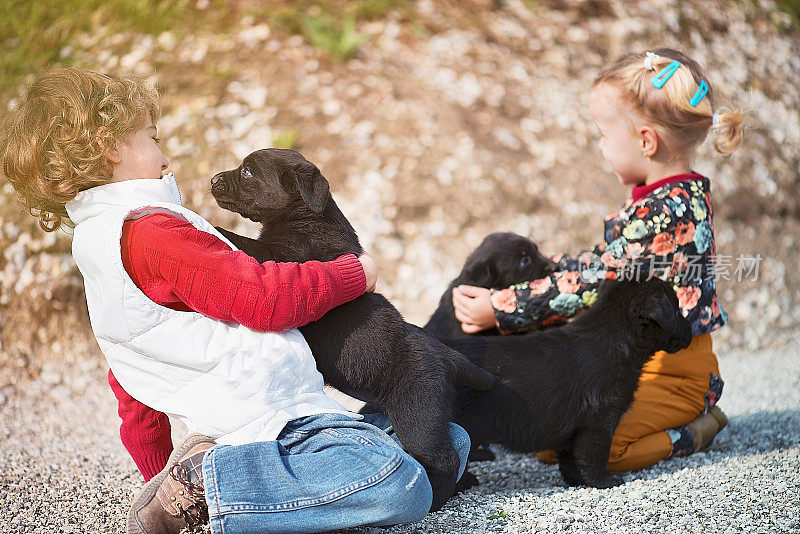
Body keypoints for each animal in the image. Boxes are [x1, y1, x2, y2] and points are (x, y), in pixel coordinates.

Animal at [209, 149, 496, 512]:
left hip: (418, 414)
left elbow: (242, 242)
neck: (306, 216)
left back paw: (436, 495)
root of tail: (447, 355)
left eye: (247, 171)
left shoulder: (283, 259)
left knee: (444, 457)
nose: (212, 179)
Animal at [444, 280, 692, 494]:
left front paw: (575, 481)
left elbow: (569, 458)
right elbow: (595, 455)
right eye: (677, 310)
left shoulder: (572, 427)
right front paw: (605, 481)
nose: (691, 329)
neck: (617, 339)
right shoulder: (600, 421)